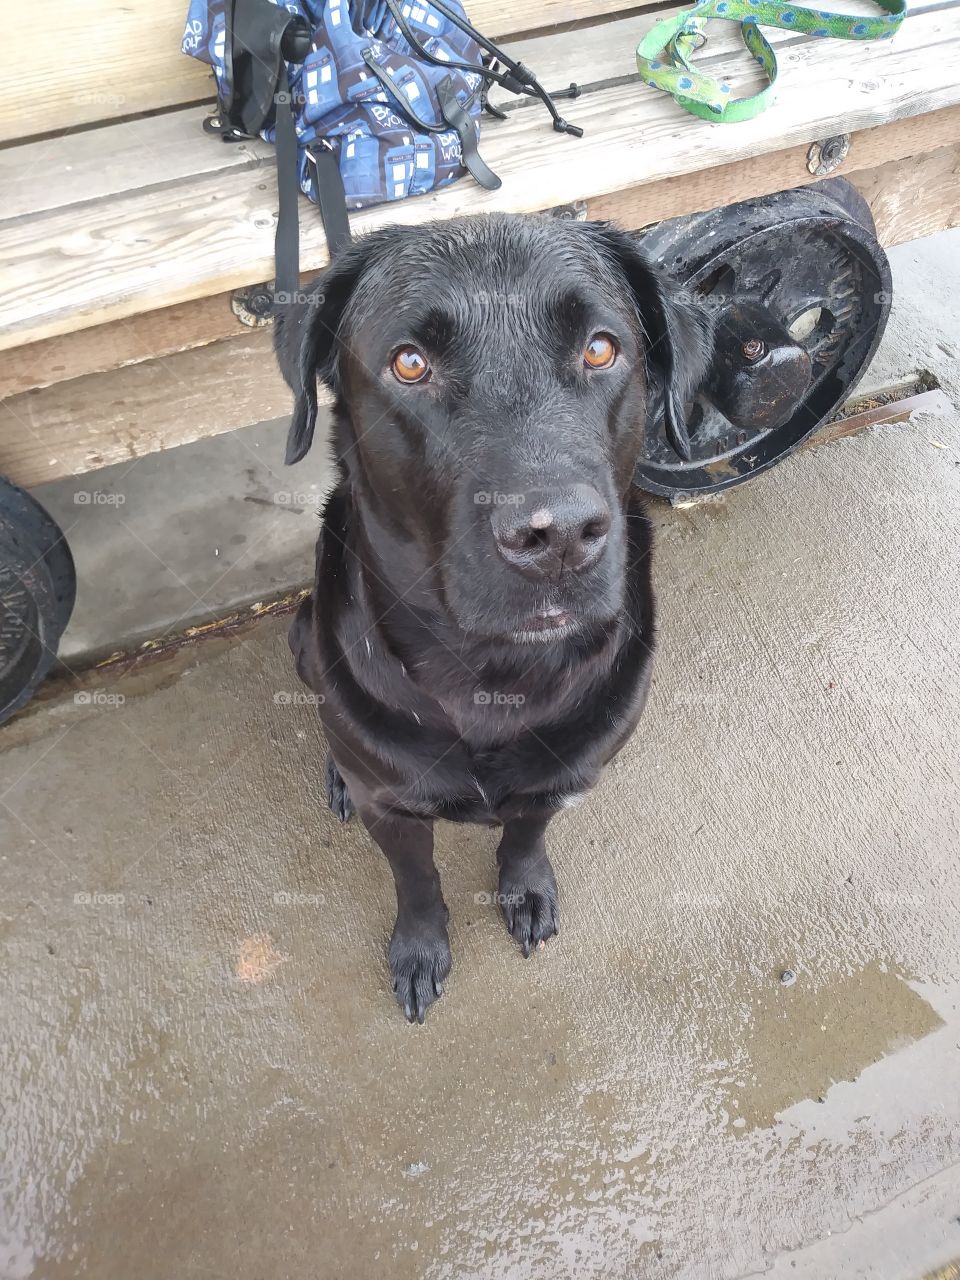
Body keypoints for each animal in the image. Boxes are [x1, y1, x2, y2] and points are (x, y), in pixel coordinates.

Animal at [273, 217, 711, 1018]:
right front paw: (420, 946)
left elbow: (524, 836)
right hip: (302, 637)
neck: (493, 673)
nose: (558, 535)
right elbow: (417, 880)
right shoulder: (394, 809)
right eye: (410, 363)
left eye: (600, 348)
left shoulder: (563, 777)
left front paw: (525, 888)